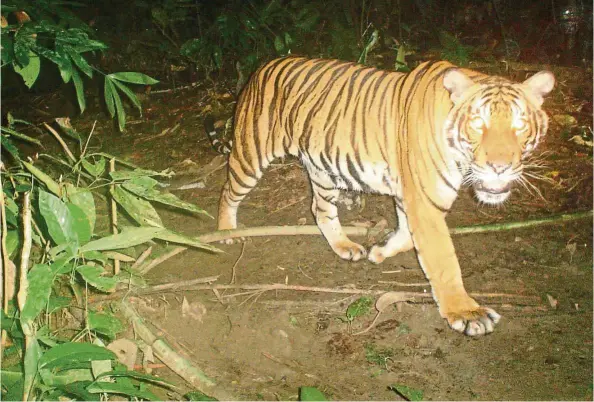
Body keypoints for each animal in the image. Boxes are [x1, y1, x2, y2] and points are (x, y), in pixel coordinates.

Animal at [212, 56, 552, 336]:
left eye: (520, 124)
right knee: (228, 192)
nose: (499, 167)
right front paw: (466, 312)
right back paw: (226, 231)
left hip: (323, 170)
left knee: (320, 209)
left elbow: (408, 235)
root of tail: (264, 65)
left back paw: (345, 246)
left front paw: (380, 251)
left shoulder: (414, 197)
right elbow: (443, 259)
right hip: (251, 154)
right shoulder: (425, 202)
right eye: (478, 123)